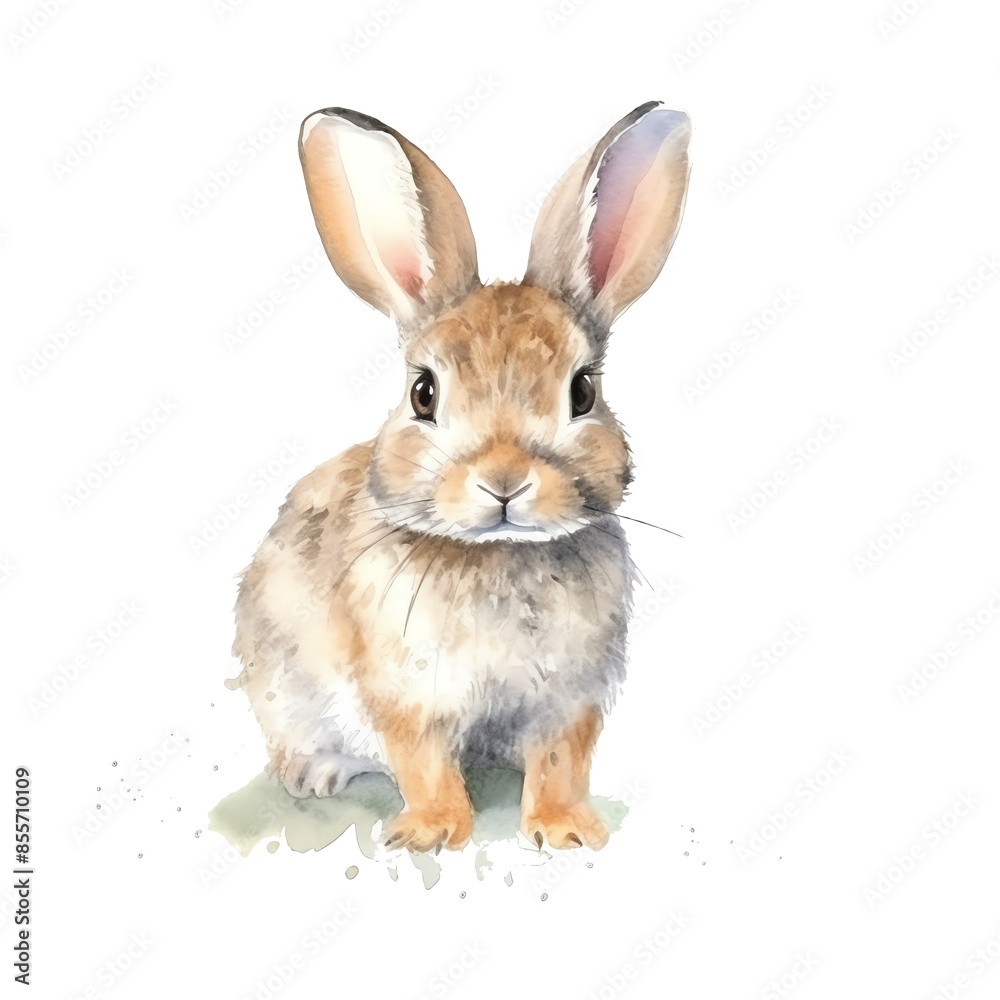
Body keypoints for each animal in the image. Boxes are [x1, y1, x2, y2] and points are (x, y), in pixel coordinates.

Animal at [231, 101, 691, 853]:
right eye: (423, 393)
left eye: (583, 392)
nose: (504, 482)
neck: (498, 554)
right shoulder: (405, 692)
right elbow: (422, 761)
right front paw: (433, 832)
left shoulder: (571, 699)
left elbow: (561, 760)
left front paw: (566, 831)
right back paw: (313, 773)